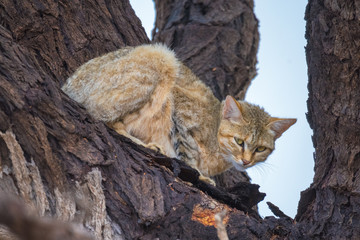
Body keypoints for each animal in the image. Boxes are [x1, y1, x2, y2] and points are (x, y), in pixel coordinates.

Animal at [62, 43, 296, 186]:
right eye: (239, 141)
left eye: (260, 149)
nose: (246, 161)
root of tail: (68, 85)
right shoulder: (181, 106)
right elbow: (188, 149)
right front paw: (199, 174)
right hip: (161, 57)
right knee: (103, 118)